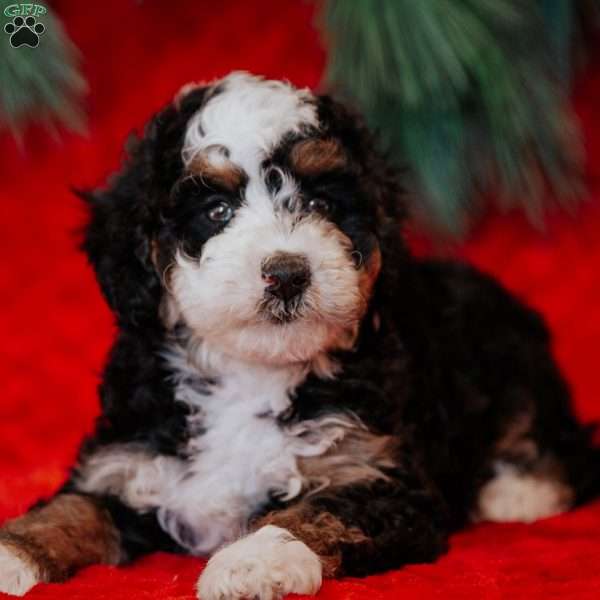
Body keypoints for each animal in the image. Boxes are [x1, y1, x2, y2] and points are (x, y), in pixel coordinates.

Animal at [1, 72, 600, 596]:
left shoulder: (380, 475)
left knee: (562, 439)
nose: (288, 272)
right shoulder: (125, 461)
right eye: (216, 210)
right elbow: (70, 507)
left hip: (515, 365)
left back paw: (516, 492)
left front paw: (252, 560)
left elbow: (320, 510)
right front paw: (14, 552)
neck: (250, 375)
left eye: (320, 204)